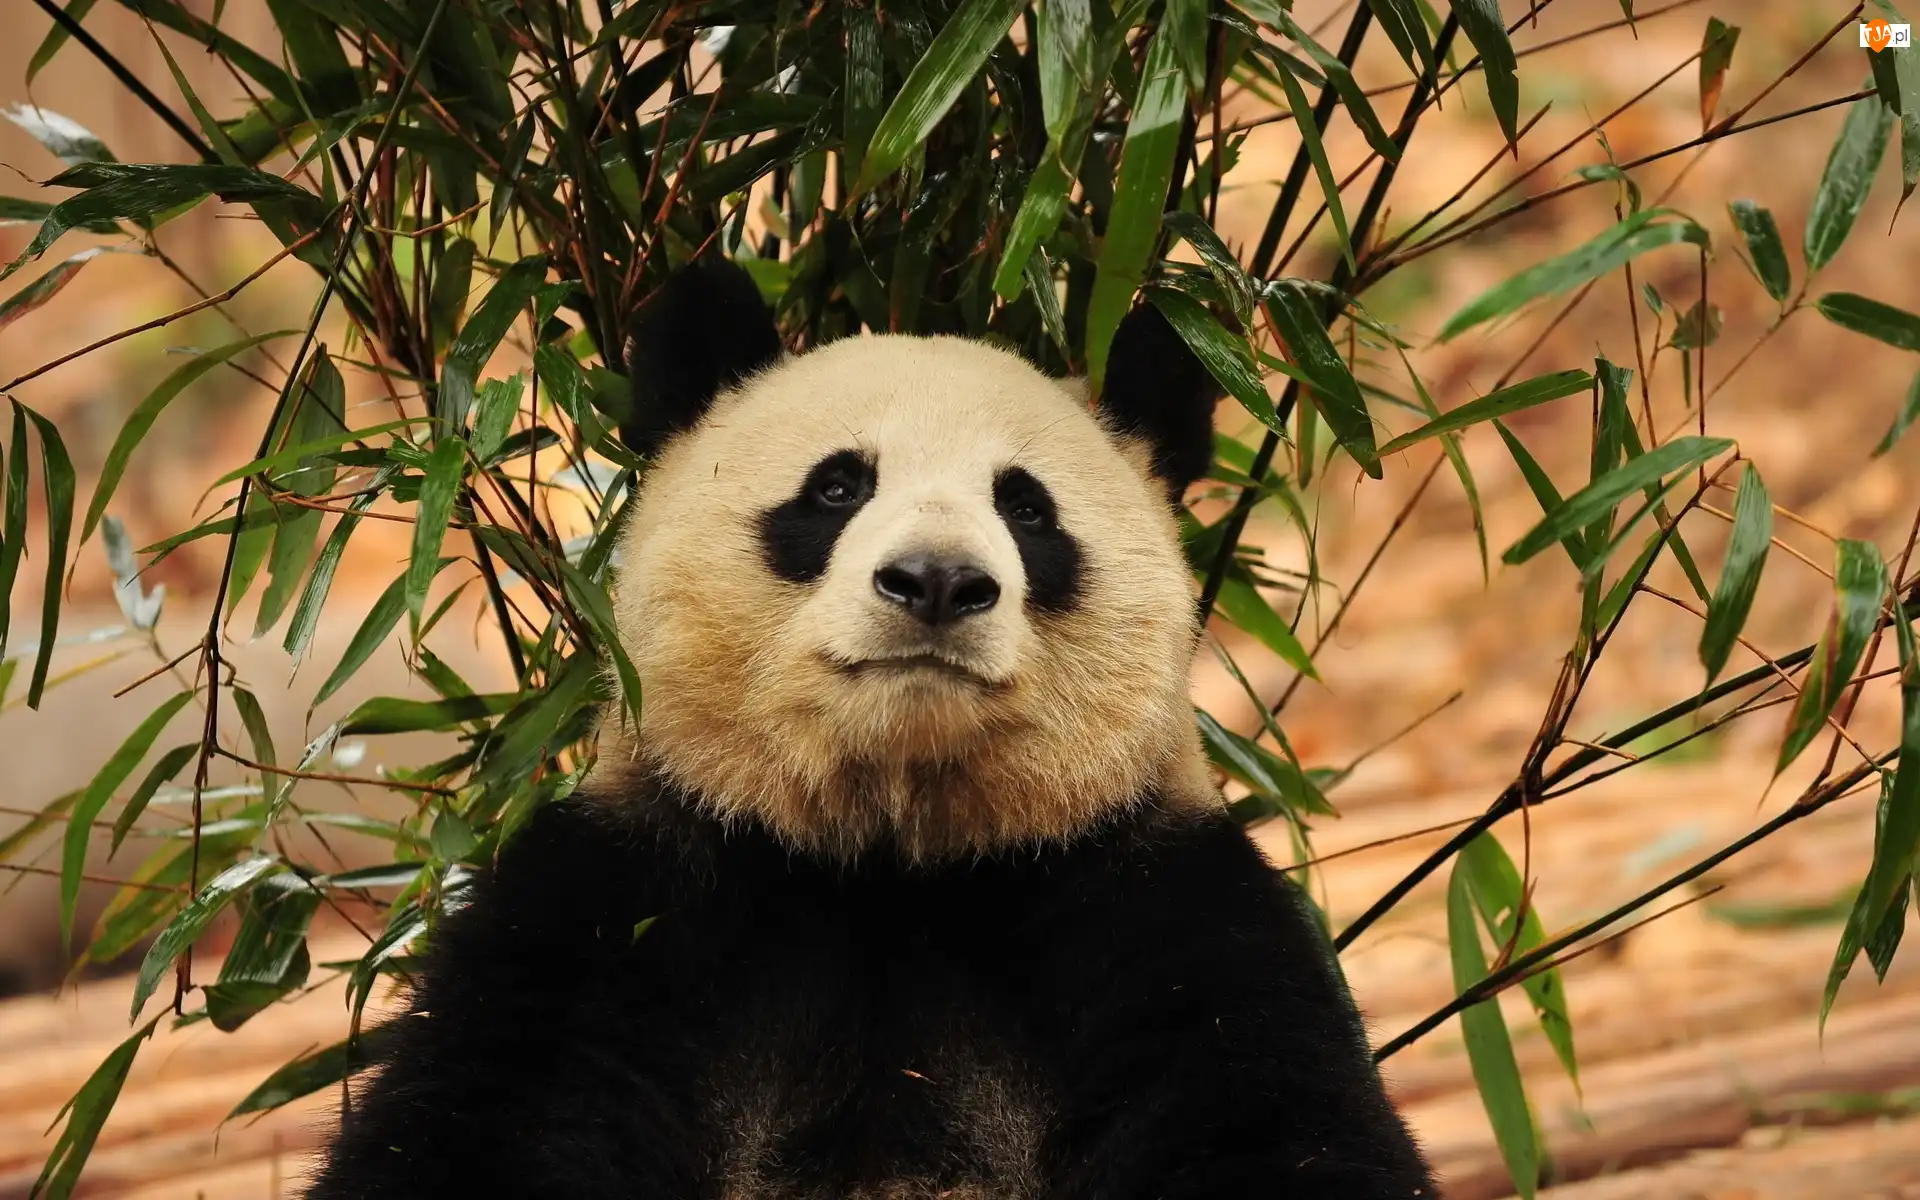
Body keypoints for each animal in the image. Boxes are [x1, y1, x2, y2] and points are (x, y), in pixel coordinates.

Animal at [303, 256, 1437, 1199]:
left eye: (1027, 509)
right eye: (838, 485)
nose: (936, 581)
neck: (893, 857)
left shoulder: (1155, 908)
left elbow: (1281, 1128)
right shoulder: (625, 908)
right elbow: (477, 1118)